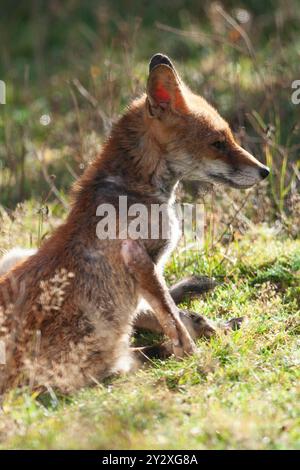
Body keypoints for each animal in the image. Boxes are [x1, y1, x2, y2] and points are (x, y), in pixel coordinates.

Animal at [0, 54, 268, 392]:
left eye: (229, 137)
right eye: (218, 143)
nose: (265, 171)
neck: (133, 190)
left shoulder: (148, 270)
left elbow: (177, 316)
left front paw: (212, 327)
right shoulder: (140, 261)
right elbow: (173, 323)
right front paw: (196, 357)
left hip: (16, 255)